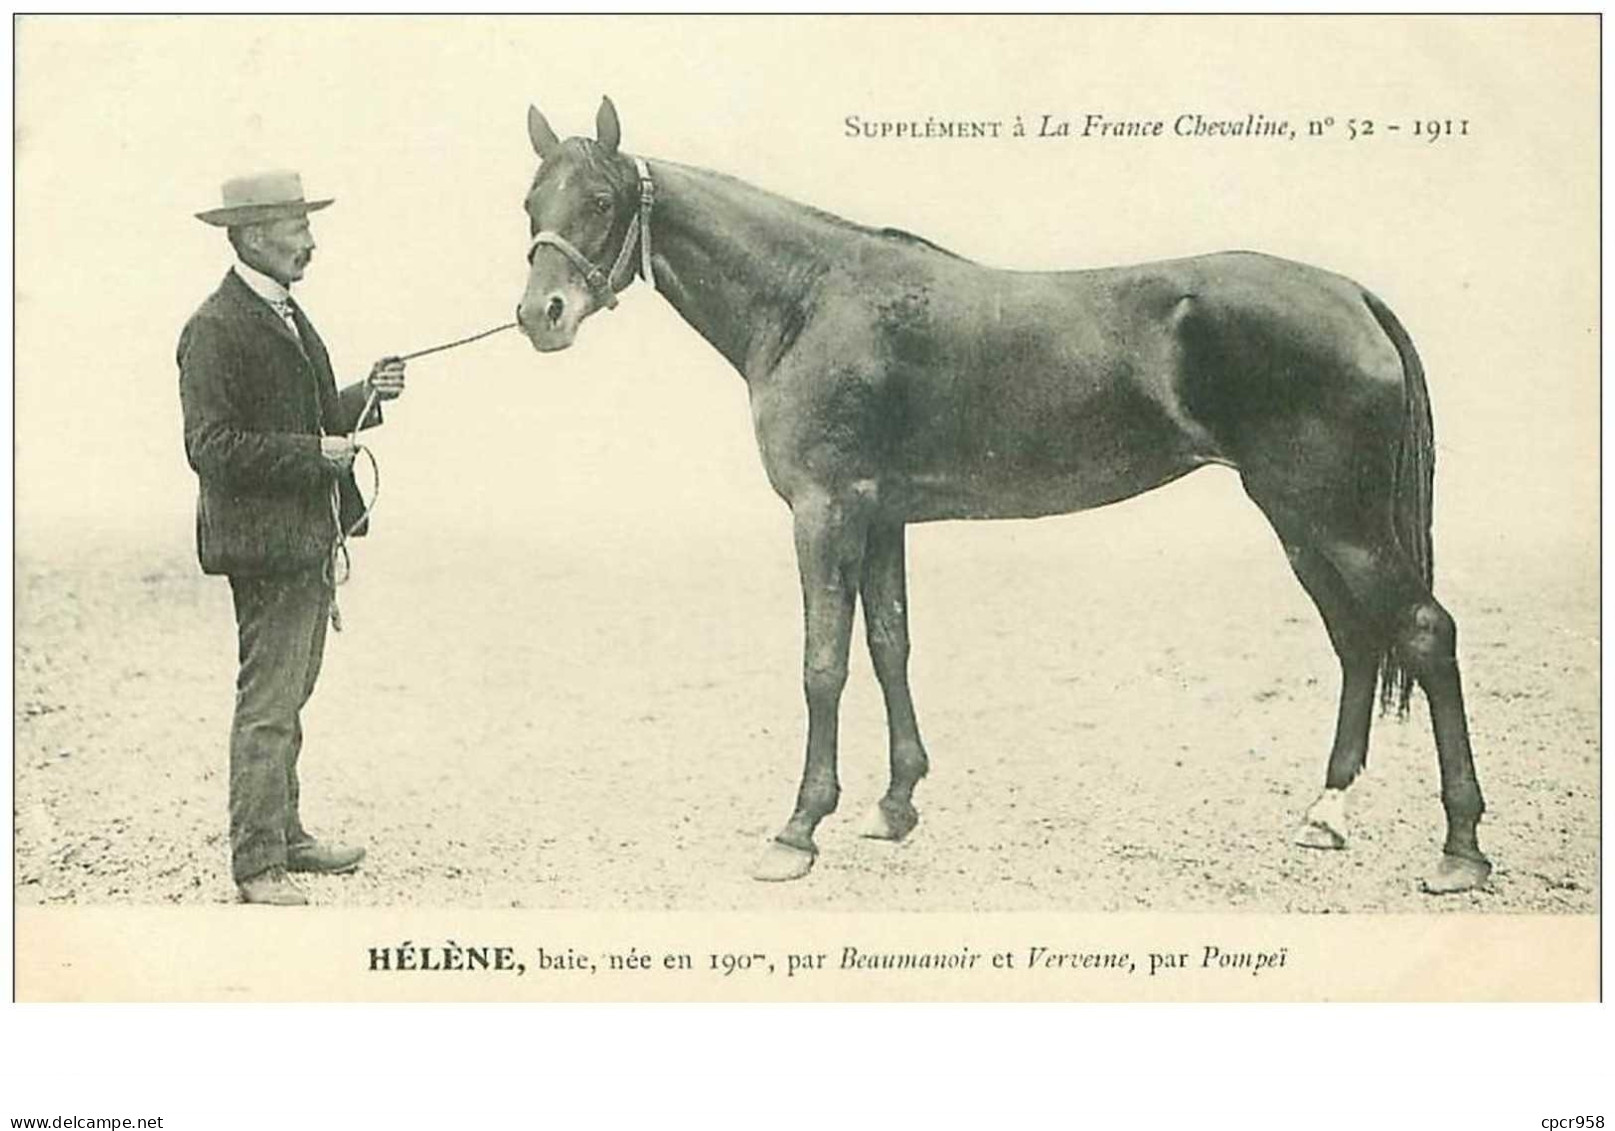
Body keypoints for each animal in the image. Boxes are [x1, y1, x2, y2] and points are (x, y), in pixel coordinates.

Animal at [513, 97, 1485, 891]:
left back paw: (1460, 849)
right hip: (1296, 519)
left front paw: (797, 829)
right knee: (1356, 642)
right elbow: (890, 645)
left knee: (1422, 632)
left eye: (599, 200)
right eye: (530, 205)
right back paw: (1325, 815)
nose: (539, 315)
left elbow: (823, 663)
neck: (810, 299)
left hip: (1334, 516)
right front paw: (894, 804)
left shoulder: (825, 509)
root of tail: (1350, 295)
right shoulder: (881, 514)